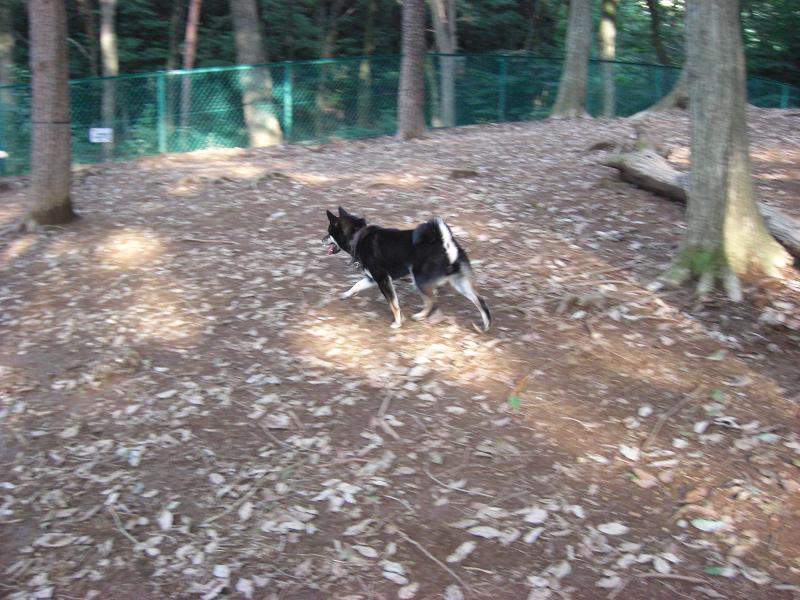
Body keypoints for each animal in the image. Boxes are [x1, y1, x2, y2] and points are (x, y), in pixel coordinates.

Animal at [323, 207, 491, 331]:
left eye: (329, 232)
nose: (321, 239)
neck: (358, 236)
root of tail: (445, 242)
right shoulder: (372, 278)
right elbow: (356, 285)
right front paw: (346, 294)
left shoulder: (382, 279)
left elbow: (394, 304)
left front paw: (398, 322)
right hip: (459, 283)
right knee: (480, 302)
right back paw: (485, 326)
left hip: (419, 280)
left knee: (432, 302)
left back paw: (420, 316)